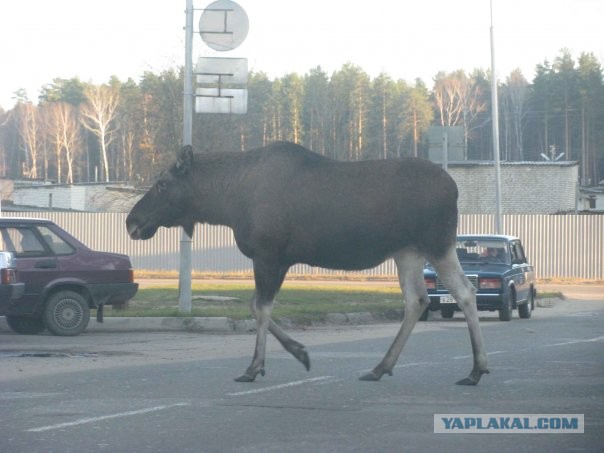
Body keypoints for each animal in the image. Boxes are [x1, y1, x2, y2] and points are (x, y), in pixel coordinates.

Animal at [127, 142, 490, 384]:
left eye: (162, 183)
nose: (132, 221)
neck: (227, 202)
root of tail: (454, 188)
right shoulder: (278, 260)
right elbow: (254, 305)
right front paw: (298, 351)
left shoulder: (269, 254)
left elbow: (261, 309)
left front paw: (254, 367)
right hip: (407, 252)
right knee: (417, 299)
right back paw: (381, 367)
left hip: (437, 244)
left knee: (465, 291)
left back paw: (476, 368)